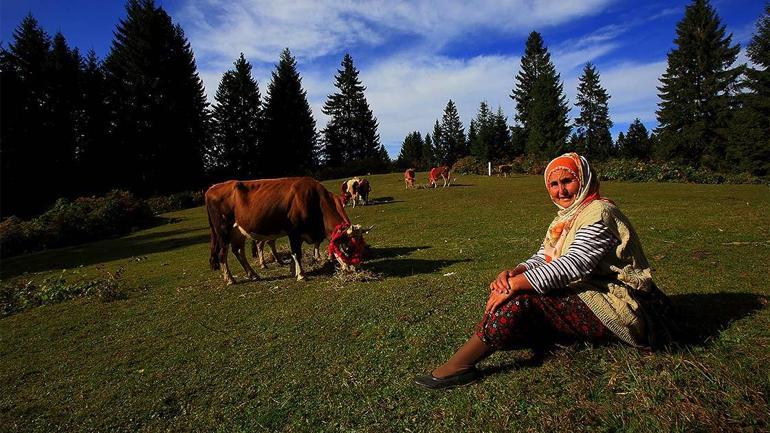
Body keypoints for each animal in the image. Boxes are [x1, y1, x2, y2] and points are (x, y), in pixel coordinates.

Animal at [206, 176, 368, 284]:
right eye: (347, 248)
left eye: (362, 247)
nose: (356, 268)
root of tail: (212, 188)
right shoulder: (294, 232)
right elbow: (296, 252)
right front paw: (301, 275)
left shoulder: (303, 233)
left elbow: (294, 253)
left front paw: (293, 270)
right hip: (223, 231)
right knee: (222, 254)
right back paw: (230, 279)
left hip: (238, 231)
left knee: (239, 251)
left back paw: (253, 274)